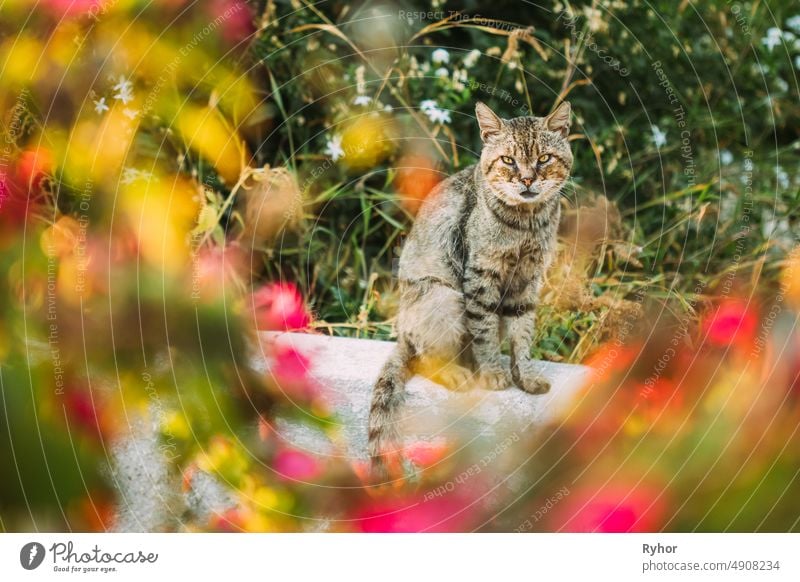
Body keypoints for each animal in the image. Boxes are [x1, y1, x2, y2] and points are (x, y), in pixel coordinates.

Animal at [370, 100, 576, 482]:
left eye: (543, 159)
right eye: (508, 160)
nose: (528, 179)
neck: (526, 221)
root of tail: (401, 333)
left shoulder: (528, 282)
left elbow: (522, 335)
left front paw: (524, 375)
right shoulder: (481, 277)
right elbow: (485, 333)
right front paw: (493, 372)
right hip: (443, 297)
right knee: (426, 358)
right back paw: (458, 372)